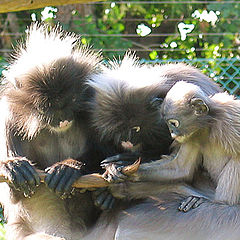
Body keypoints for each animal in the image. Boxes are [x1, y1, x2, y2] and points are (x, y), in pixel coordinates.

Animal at [0, 22, 114, 240]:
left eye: (70, 101)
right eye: (47, 108)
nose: (63, 119)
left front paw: (69, 168)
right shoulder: (10, 117)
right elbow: (12, 197)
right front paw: (13, 166)